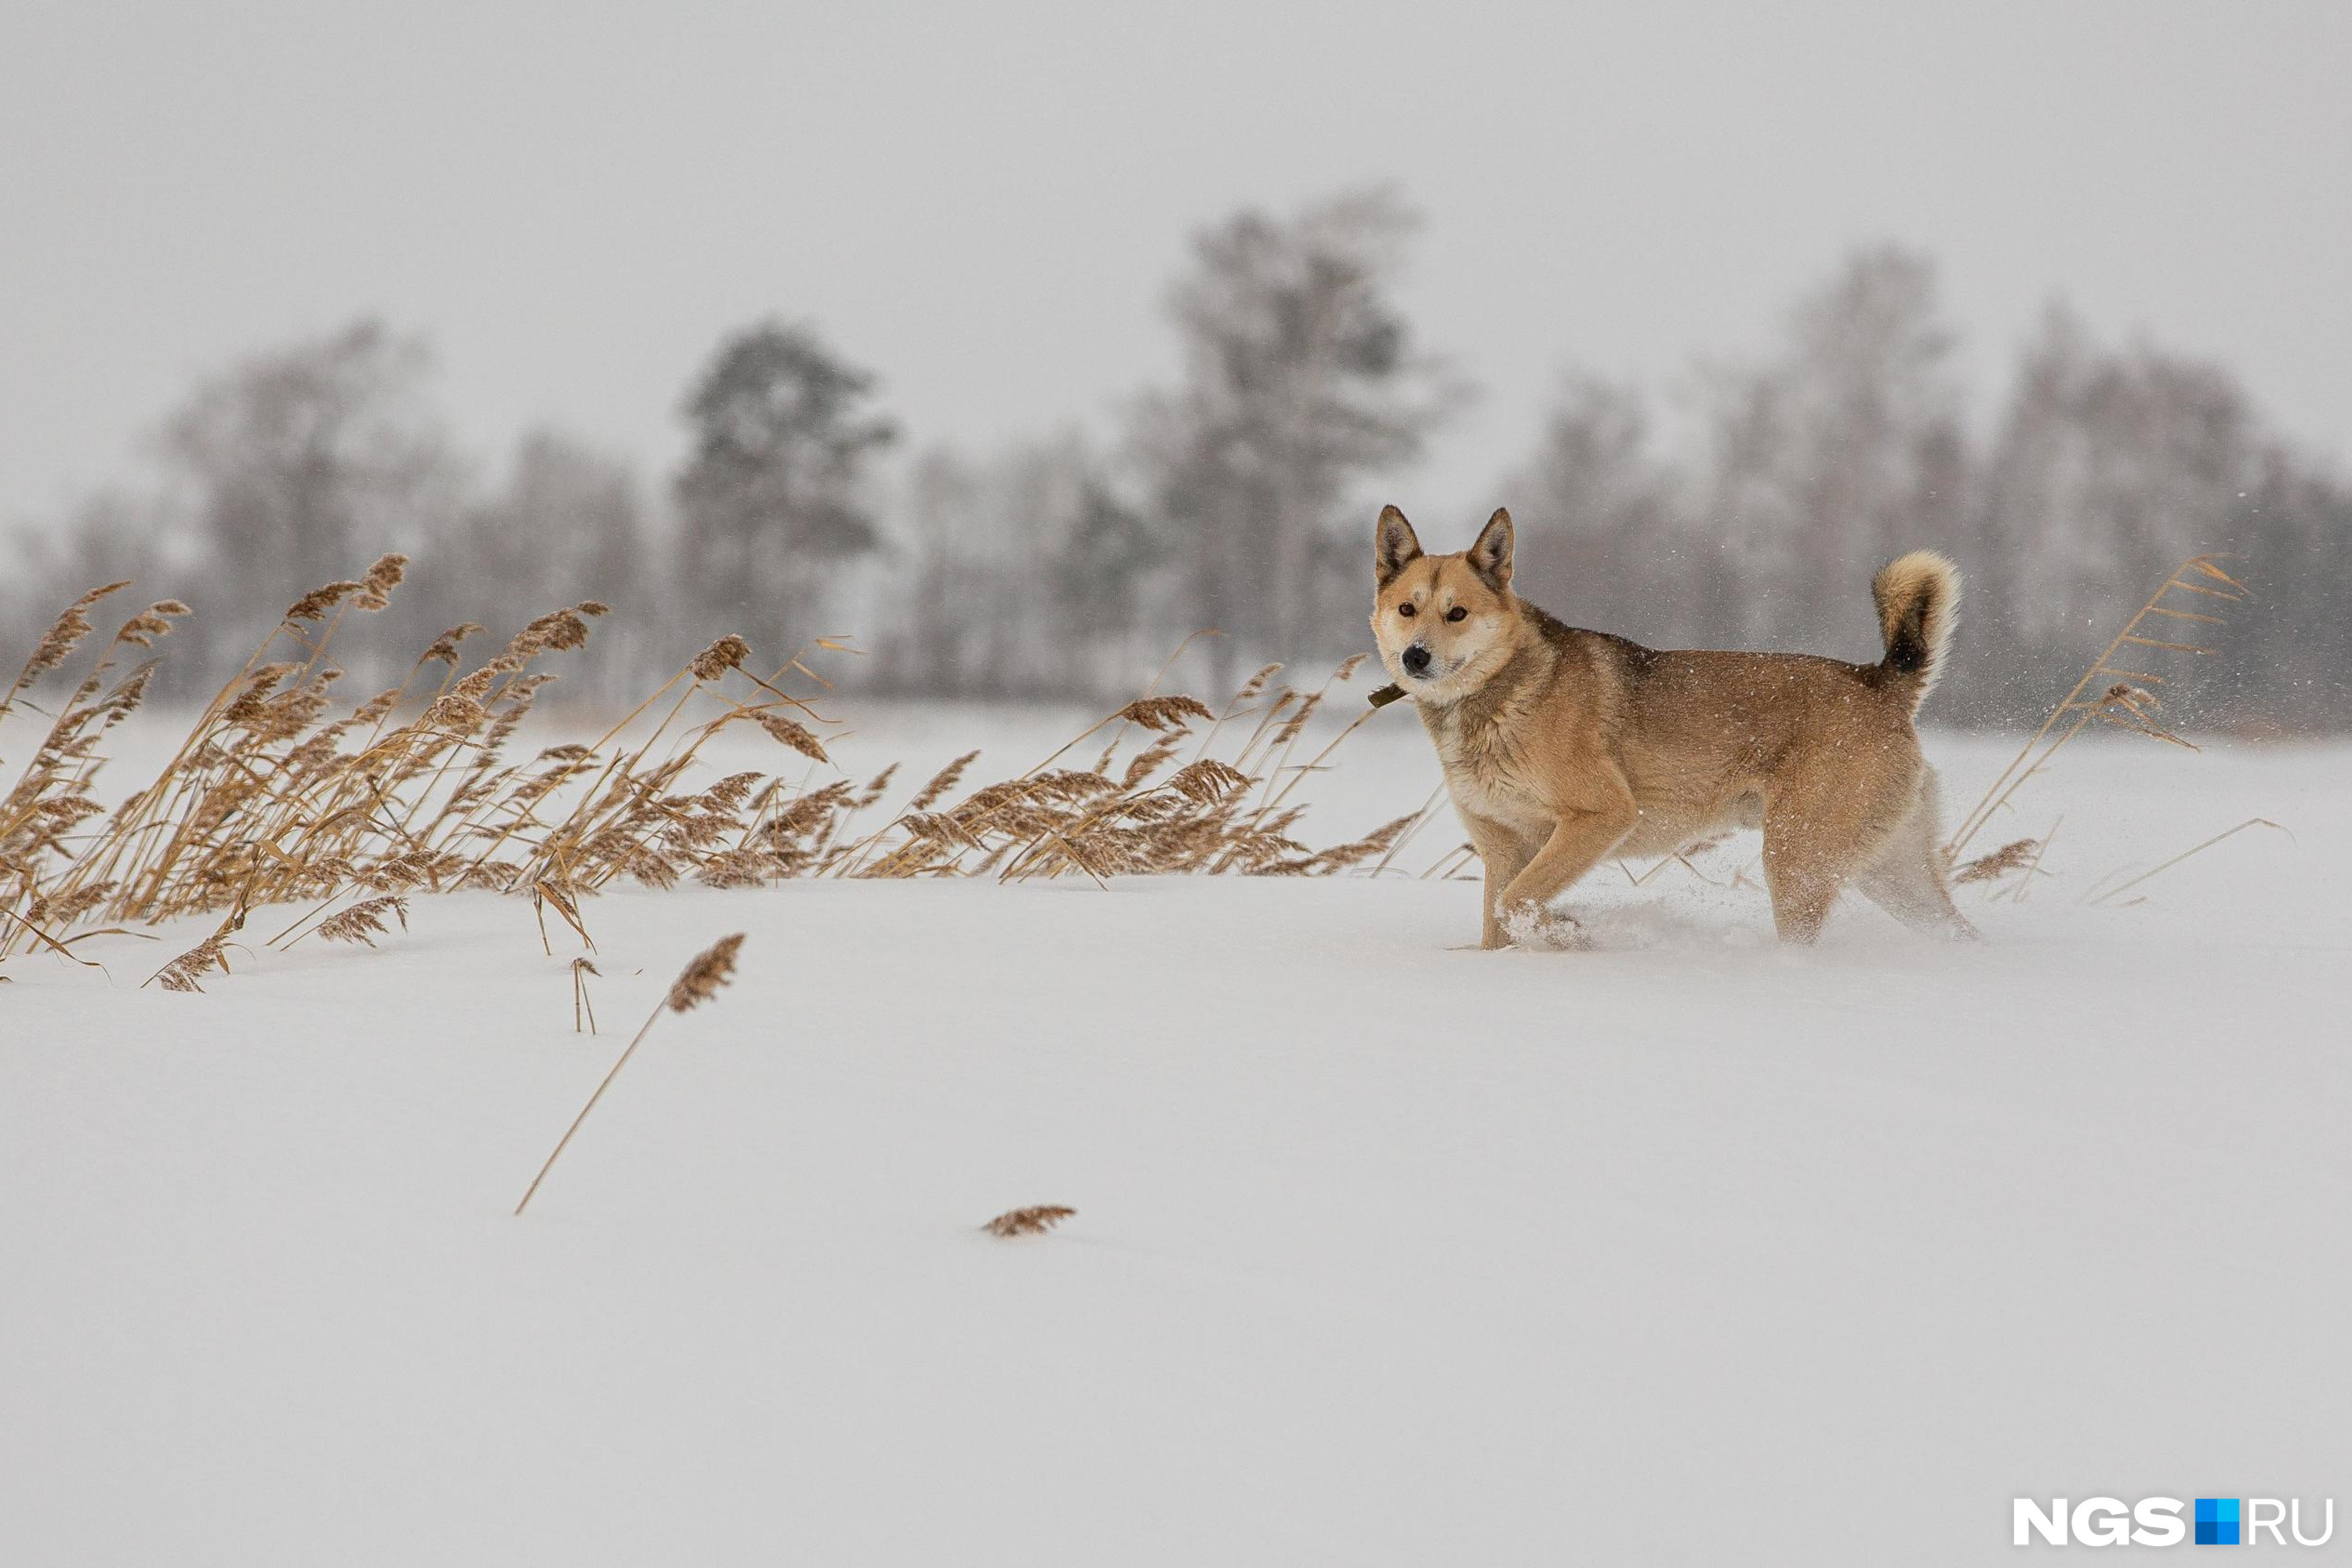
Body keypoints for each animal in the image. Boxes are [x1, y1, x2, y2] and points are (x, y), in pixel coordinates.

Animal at [1374, 505, 1976, 945]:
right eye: (1407, 609)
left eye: (1457, 613)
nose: (1415, 657)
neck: (1500, 695)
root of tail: (1878, 681)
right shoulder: (1503, 849)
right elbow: (1498, 919)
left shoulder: (1602, 815)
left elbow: (1516, 902)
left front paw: (1569, 929)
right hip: (1891, 871)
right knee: (1956, 929)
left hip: (1797, 861)